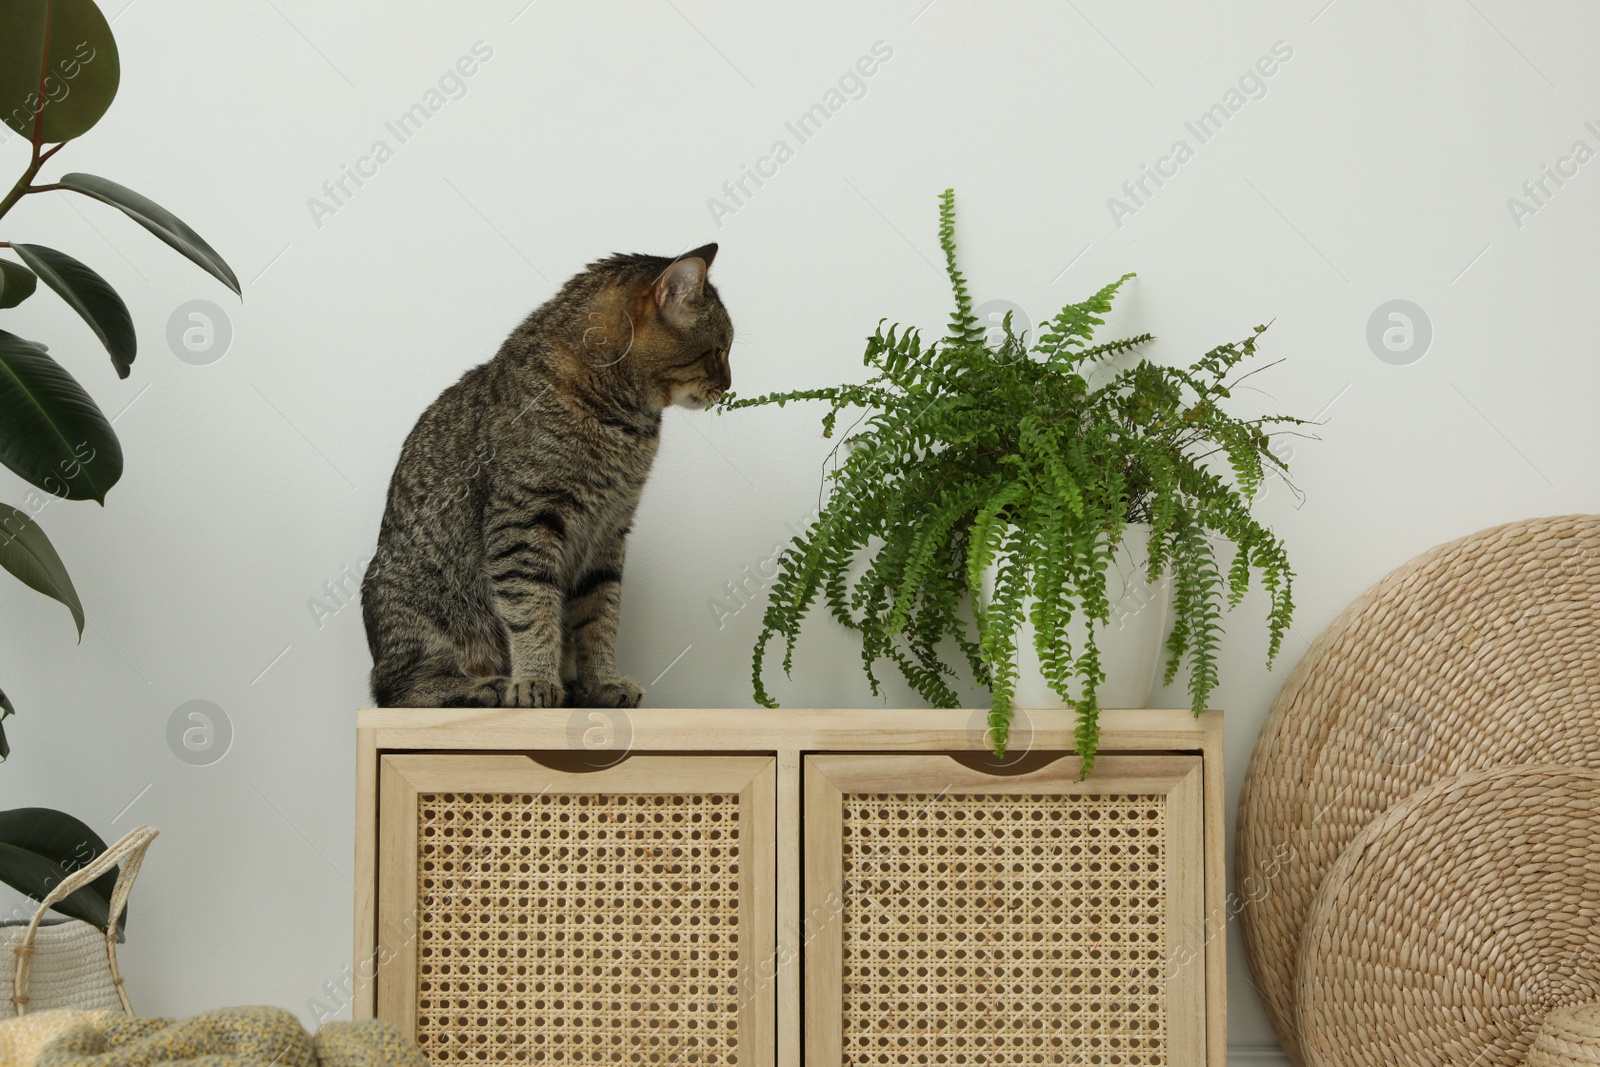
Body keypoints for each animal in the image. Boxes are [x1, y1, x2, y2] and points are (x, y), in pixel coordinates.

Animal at [363, 244, 732, 703]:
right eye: (719, 350)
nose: (729, 384)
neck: (625, 423)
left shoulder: (609, 533)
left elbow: (600, 617)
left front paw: (601, 681)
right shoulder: (523, 522)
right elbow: (532, 608)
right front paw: (536, 679)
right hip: (422, 617)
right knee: (400, 690)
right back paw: (488, 685)